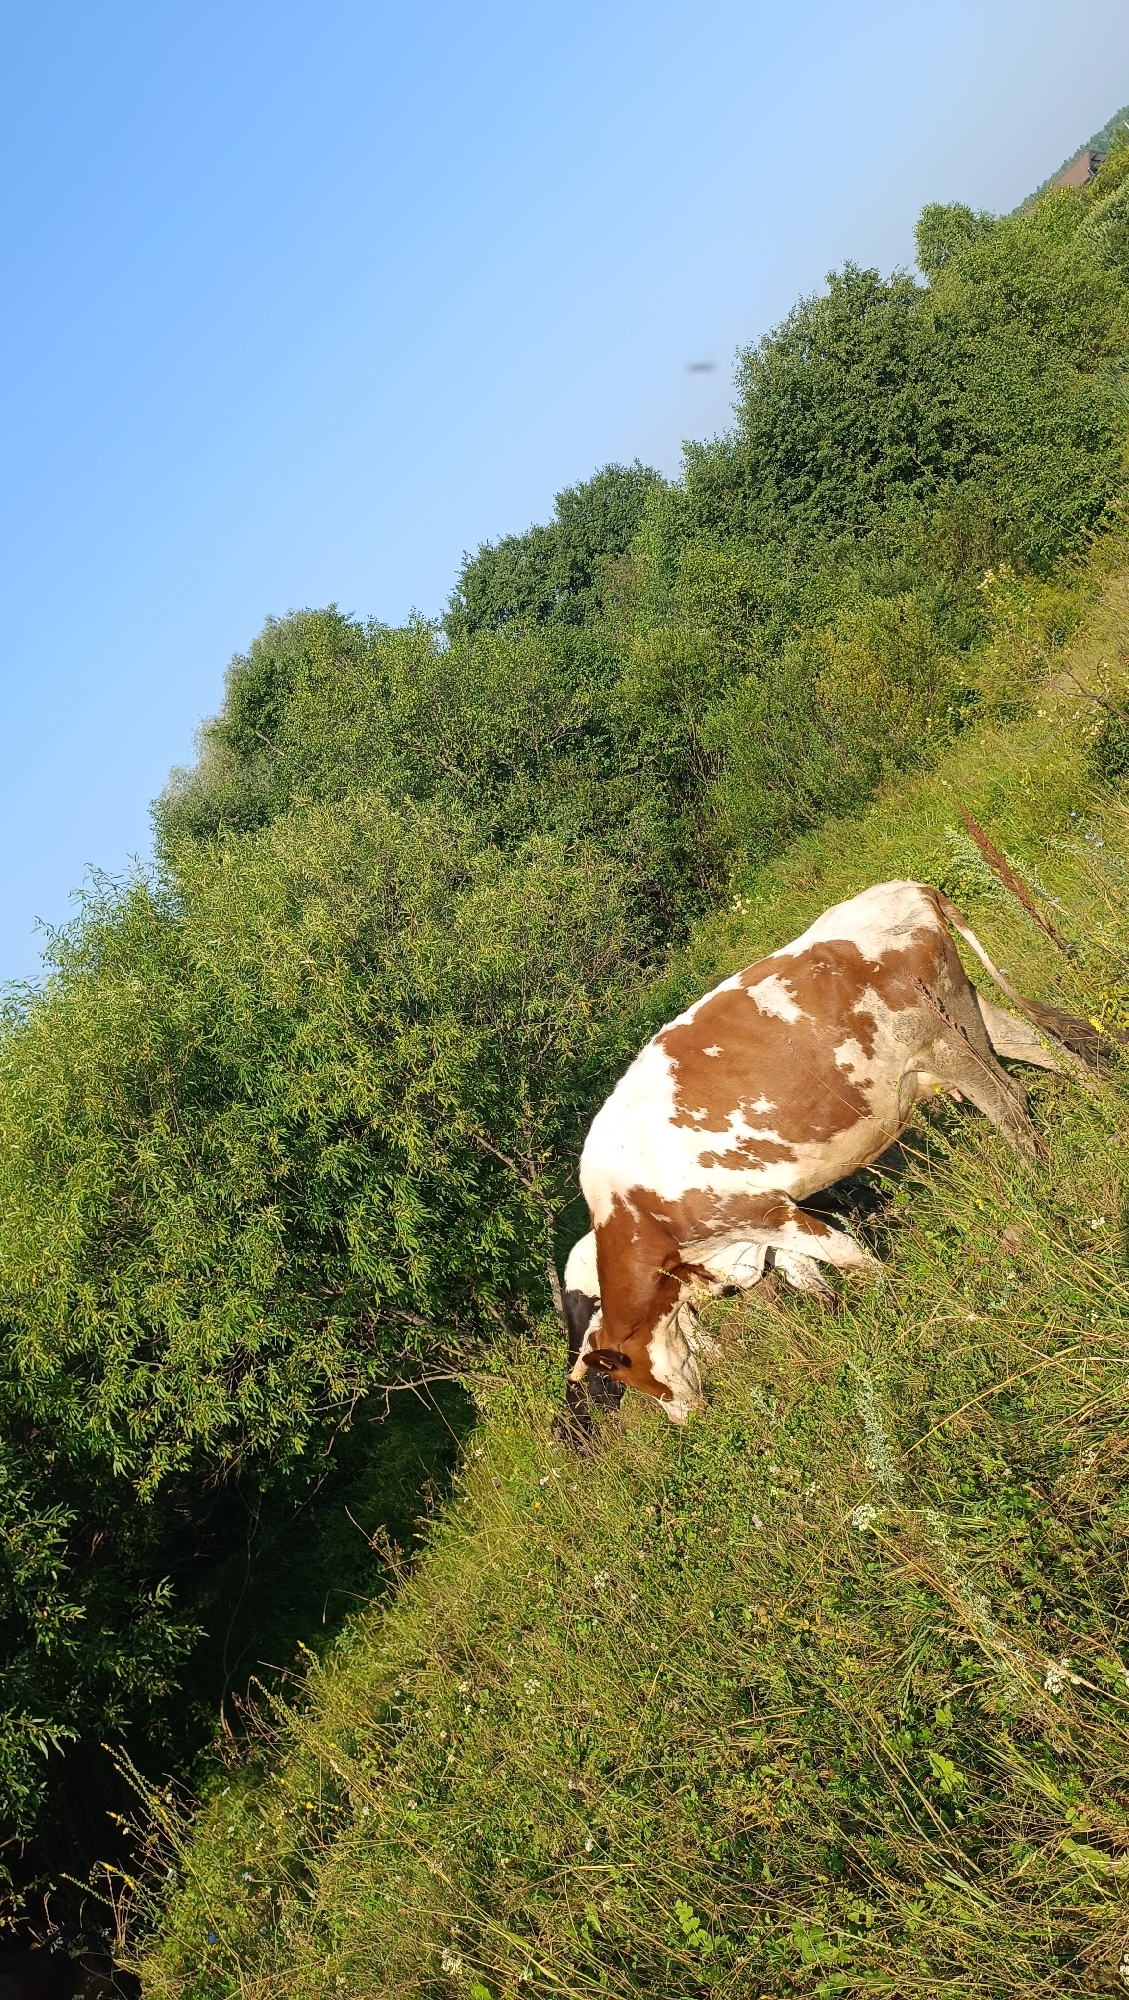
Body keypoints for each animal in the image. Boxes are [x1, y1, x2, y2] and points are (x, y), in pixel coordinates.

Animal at [565, 880, 1095, 1426]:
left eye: (631, 1376)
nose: (684, 1419)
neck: (637, 1210)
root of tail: (904, 887)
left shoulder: (763, 1212)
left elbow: (845, 1254)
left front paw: (893, 1290)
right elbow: (803, 1276)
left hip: (940, 1041)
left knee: (1009, 1100)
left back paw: (1038, 1181)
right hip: (970, 1013)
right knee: (1047, 1048)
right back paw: (1102, 1100)